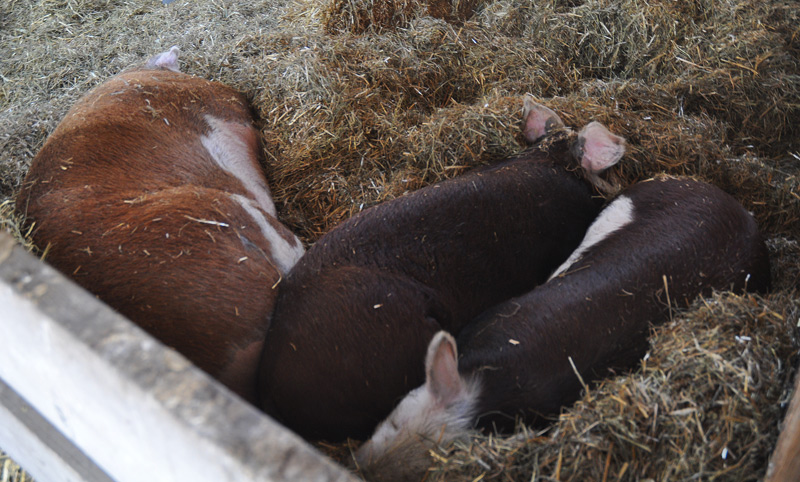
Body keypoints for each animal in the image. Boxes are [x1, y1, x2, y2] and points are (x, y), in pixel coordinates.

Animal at [354, 175, 771, 481]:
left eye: (431, 469)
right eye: (392, 421)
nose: (360, 464)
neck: (491, 386)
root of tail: (738, 207)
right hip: (619, 206)